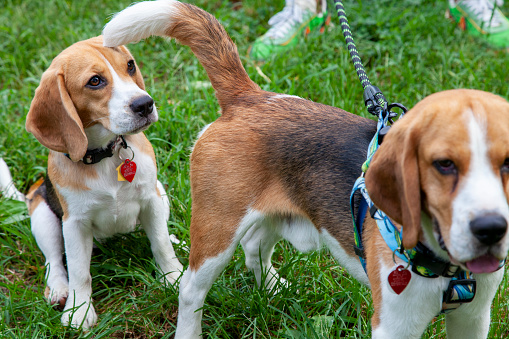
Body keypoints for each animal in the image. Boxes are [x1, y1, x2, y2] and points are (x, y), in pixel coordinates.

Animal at [15, 36, 183, 330]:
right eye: (95, 81)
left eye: (130, 65)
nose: (145, 104)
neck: (104, 153)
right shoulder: (74, 223)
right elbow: (79, 270)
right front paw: (79, 311)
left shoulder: (151, 200)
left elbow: (161, 243)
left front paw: (173, 277)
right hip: (43, 215)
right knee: (54, 261)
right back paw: (59, 289)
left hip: (161, 192)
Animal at [104, 1, 508, 338]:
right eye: (444, 165)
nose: (491, 229)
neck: (449, 267)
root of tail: (251, 96)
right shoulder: (395, 324)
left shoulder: (474, 319)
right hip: (217, 228)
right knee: (191, 290)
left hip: (272, 211)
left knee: (255, 245)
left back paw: (272, 288)